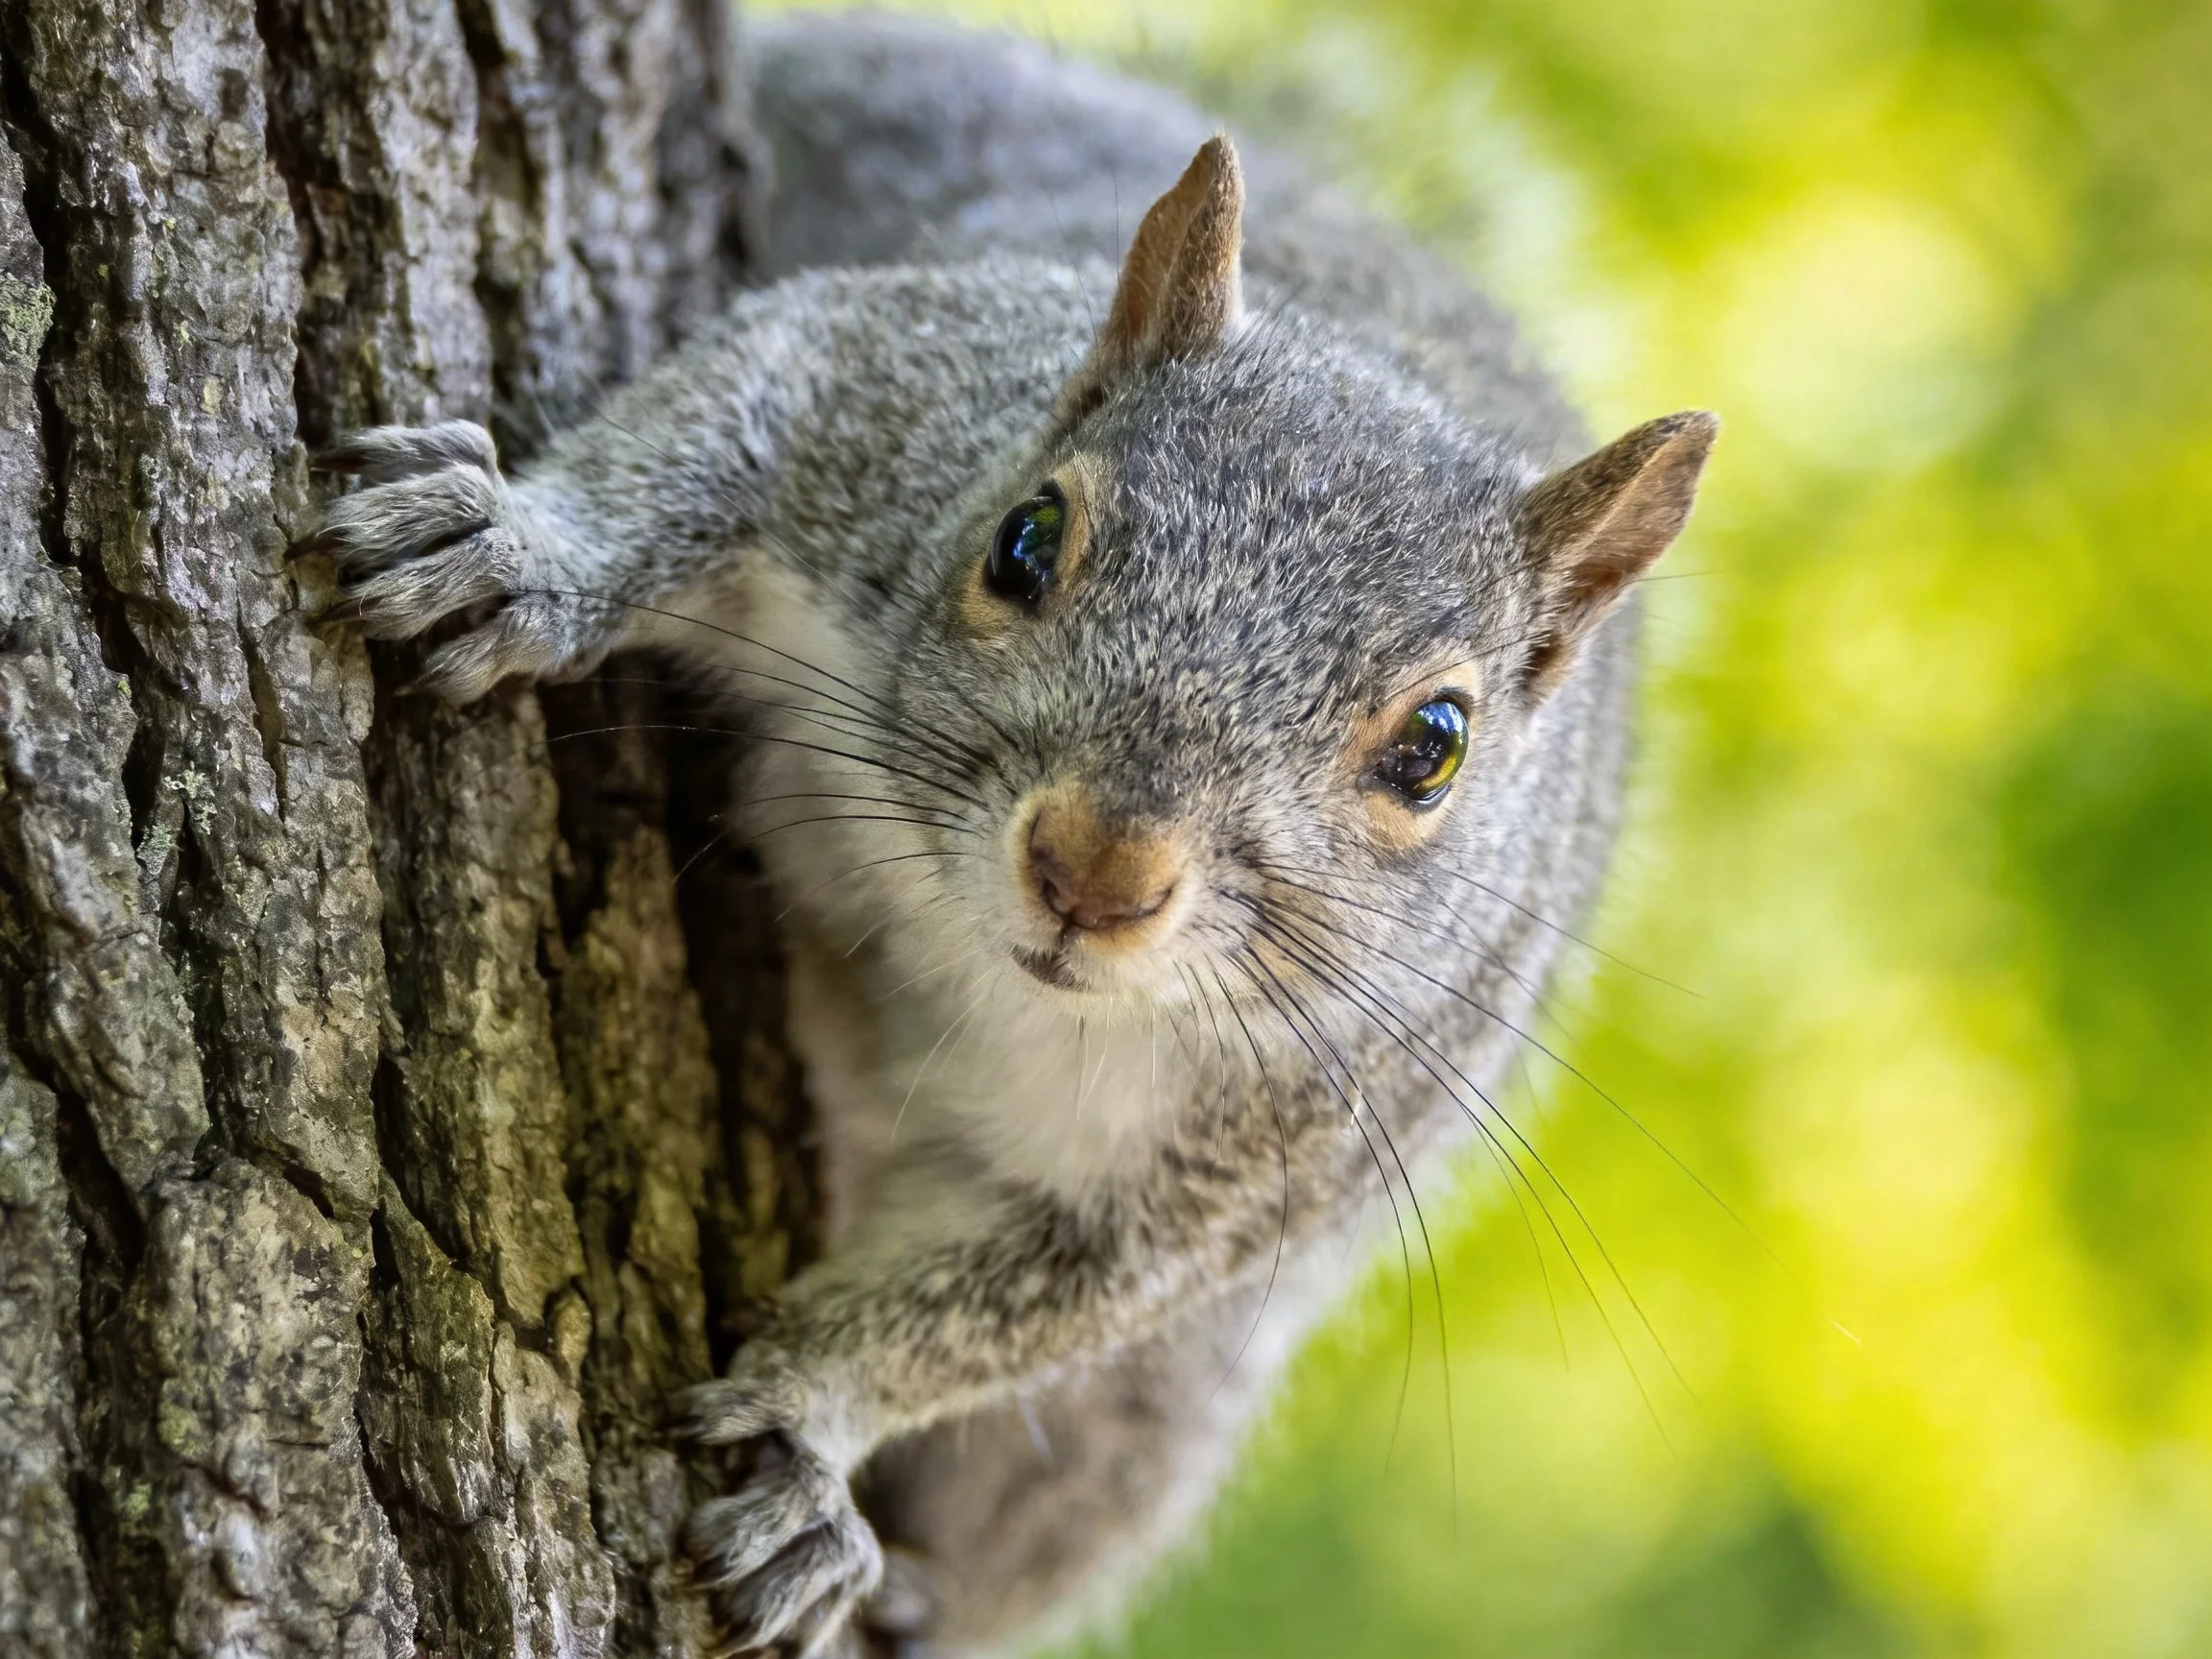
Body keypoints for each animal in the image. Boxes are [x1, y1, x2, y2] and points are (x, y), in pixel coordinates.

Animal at [308, 12, 1716, 1657]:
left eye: (1435, 747)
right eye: (1025, 539)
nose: (1093, 872)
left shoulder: (1234, 1172)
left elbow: (982, 1318)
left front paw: (805, 1445)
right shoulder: (875, 401)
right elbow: (706, 427)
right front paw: (525, 552)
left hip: (1134, 1441)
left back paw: (904, 1588)